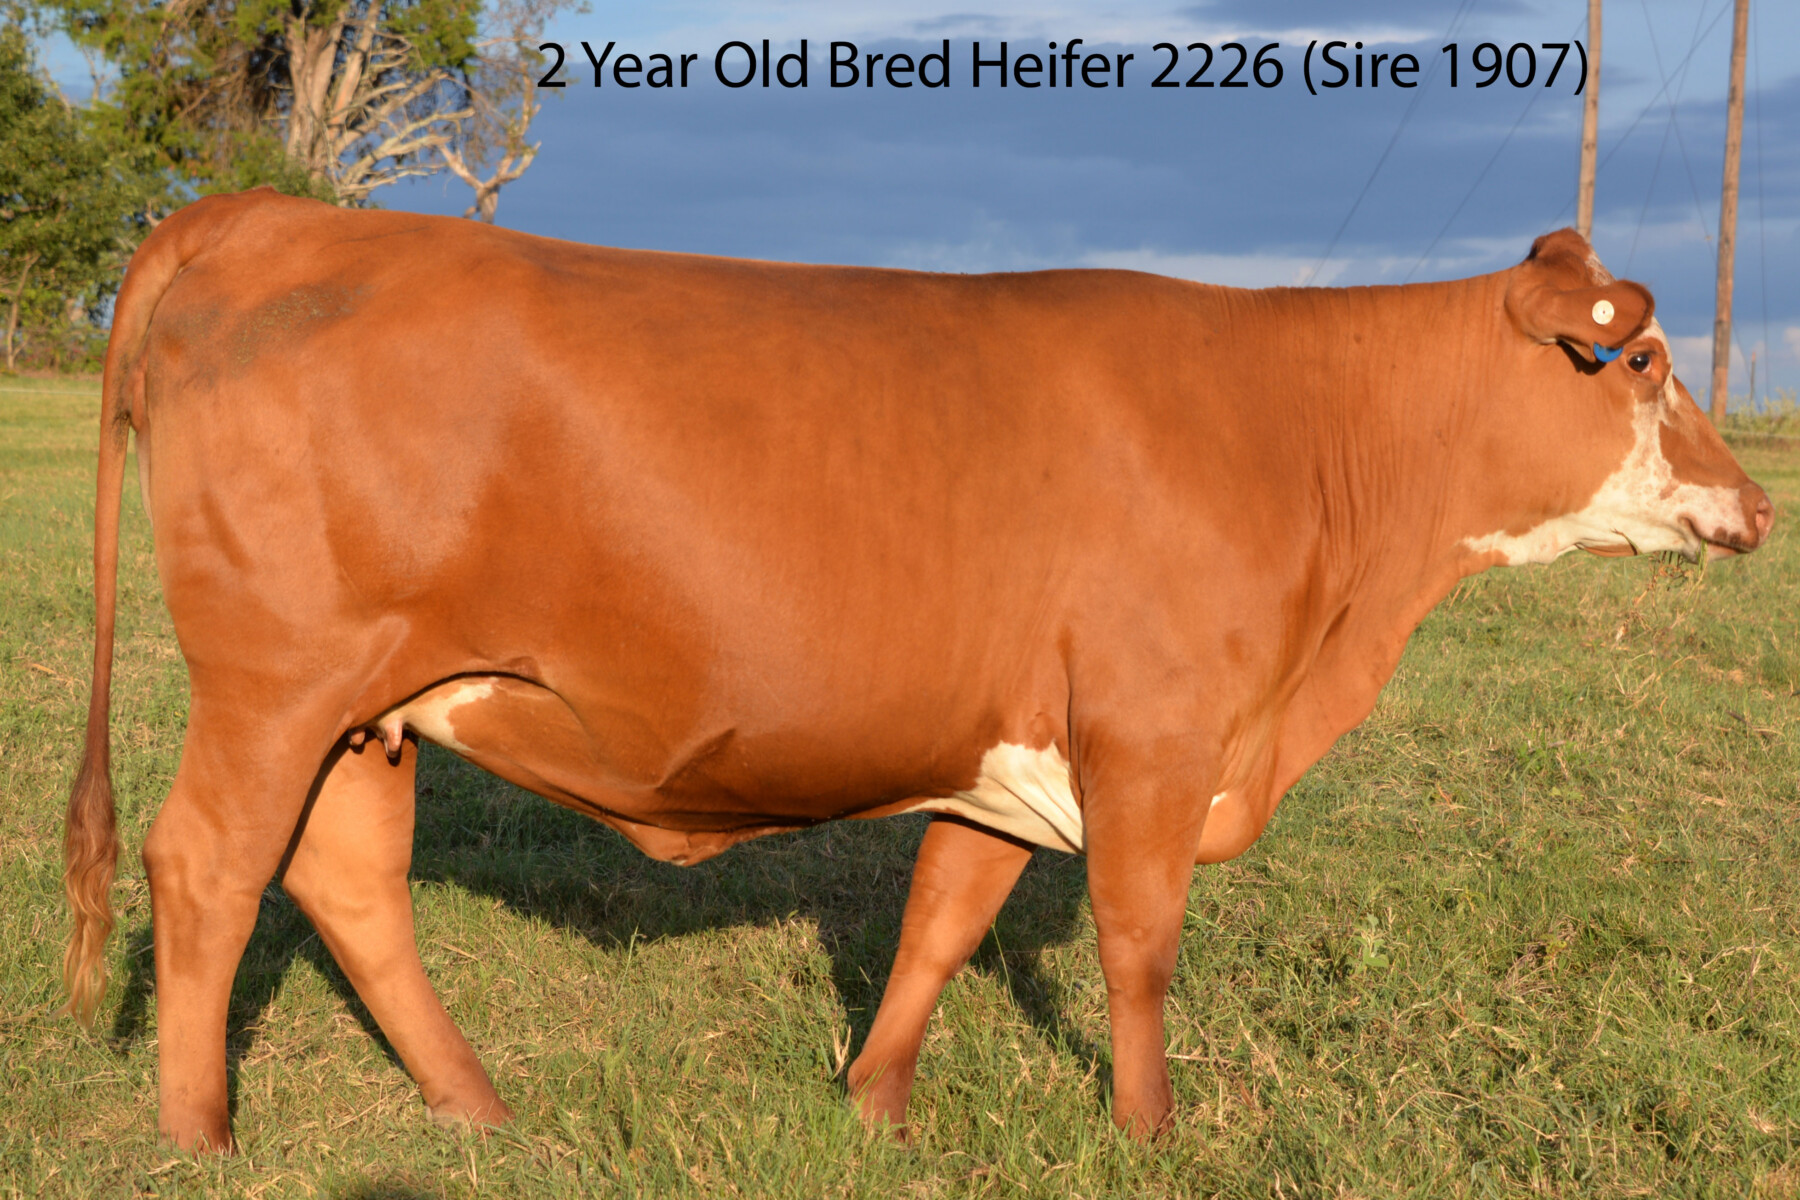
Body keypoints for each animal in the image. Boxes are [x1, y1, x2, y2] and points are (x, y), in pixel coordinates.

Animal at [61, 189, 1771, 1152]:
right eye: (1640, 360)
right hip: (280, 682)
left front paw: (873, 1107)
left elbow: (946, 916)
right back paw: (201, 1136)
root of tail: (275, 213)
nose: (1755, 504)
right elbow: (1139, 947)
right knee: (208, 866)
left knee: (344, 879)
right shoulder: (1153, 737)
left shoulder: (1008, 747)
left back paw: (475, 1112)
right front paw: (1152, 1133)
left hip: (373, 710)